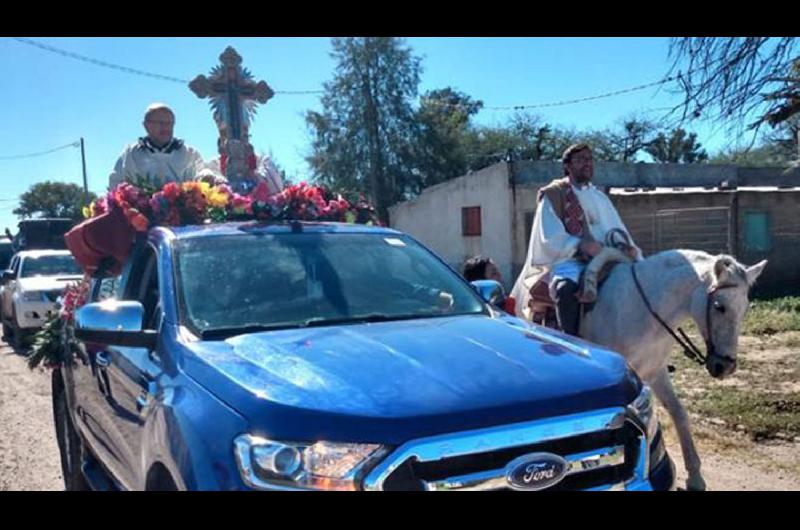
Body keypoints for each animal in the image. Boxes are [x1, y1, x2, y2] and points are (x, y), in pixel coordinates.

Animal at [572, 250, 764, 488]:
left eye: (744, 309)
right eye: (719, 307)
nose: (725, 366)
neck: (640, 309)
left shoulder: (655, 372)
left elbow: (678, 413)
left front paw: (695, 477)